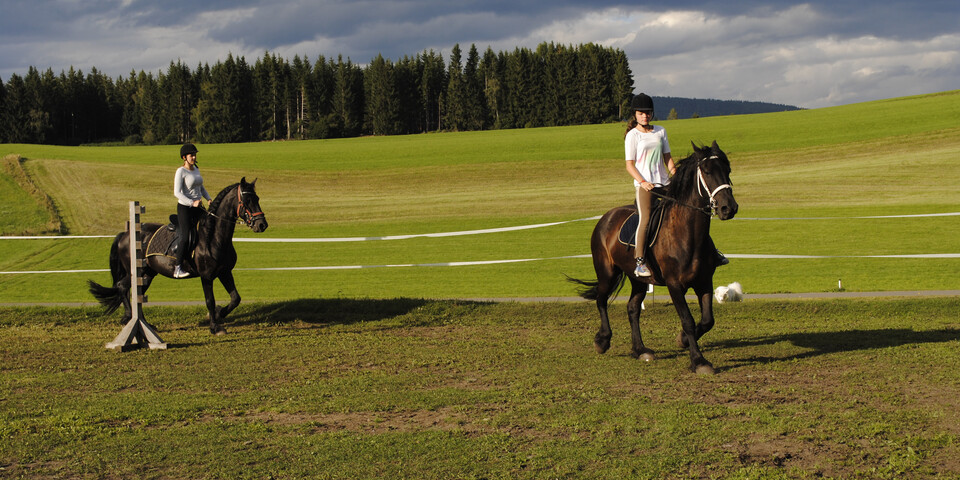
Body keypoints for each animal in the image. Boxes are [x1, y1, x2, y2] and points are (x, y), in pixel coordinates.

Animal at [89, 176, 266, 334]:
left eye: (257, 198)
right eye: (247, 201)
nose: (262, 225)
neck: (213, 237)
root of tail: (125, 234)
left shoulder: (224, 272)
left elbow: (235, 298)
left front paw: (218, 313)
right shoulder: (206, 276)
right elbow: (210, 300)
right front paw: (215, 327)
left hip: (148, 274)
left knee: (135, 293)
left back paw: (144, 323)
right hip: (137, 272)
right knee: (122, 287)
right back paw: (129, 318)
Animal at [572, 142, 740, 376]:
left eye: (728, 170)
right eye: (707, 172)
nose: (728, 208)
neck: (687, 234)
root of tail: (606, 217)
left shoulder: (704, 281)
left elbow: (707, 320)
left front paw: (683, 341)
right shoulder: (674, 285)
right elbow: (688, 320)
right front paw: (699, 361)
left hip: (638, 281)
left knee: (632, 309)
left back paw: (640, 350)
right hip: (607, 273)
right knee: (601, 300)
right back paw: (602, 341)